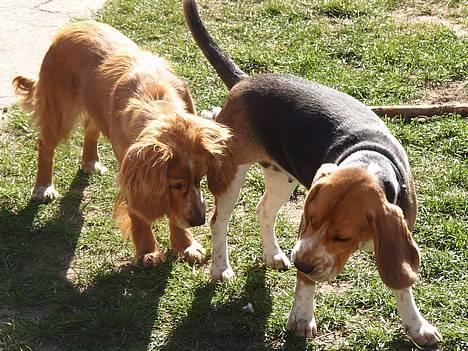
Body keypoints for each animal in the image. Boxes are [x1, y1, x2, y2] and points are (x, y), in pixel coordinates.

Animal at [13, 20, 233, 266]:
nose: (199, 221)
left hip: (94, 108)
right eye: (176, 185)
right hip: (59, 113)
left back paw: (90, 161)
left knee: (91, 130)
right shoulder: (131, 167)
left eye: (201, 179)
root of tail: (71, 26)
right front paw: (148, 251)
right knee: (45, 145)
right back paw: (43, 187)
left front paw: (186, 245)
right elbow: (140, 213)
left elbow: (175, 213)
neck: (157, 101)